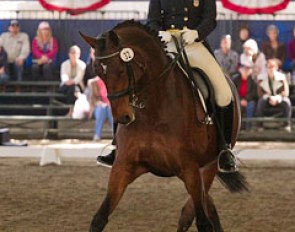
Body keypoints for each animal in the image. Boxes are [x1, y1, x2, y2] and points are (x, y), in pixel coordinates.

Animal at [80, 20, 247, 232]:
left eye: (121, 69)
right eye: (98, 72)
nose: (123, 117)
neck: (154, 111)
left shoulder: (190, 170)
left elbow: (200, 220)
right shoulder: (123, 167)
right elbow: (99, 218)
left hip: (209, 166)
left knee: (192, 212)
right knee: (207, 207)